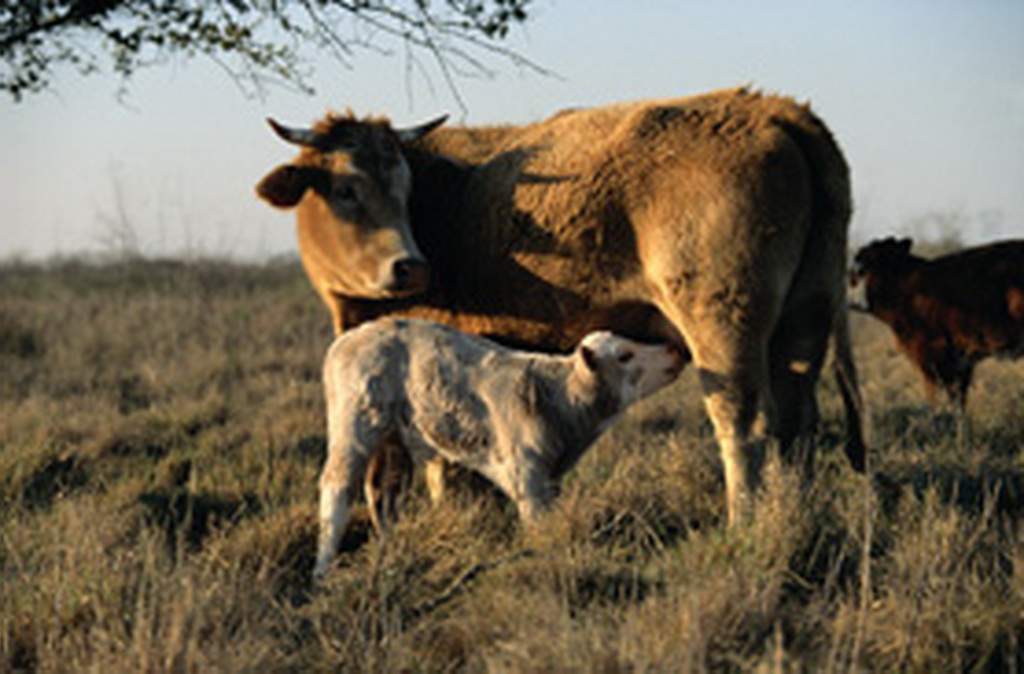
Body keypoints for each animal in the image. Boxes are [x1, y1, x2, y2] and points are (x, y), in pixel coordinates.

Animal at [253, 86, 864, 524]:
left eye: (405, 190)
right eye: (346, 190)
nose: (410, 267)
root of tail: (776, 111)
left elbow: (424, 465)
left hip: (723, 329)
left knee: (742, 424)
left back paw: (745, 524)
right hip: (805, 322)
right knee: (797, 422)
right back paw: (795, 516)